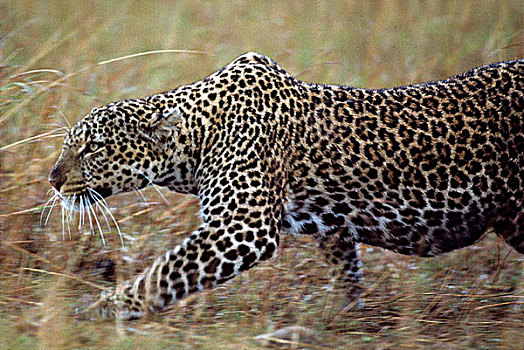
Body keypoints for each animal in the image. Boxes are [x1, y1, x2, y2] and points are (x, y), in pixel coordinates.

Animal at [47, 52, 520, 320]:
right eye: (71, 143)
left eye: (92, 148)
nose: (52, 178)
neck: (198, 136)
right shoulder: (331, 224)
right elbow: (345, 267)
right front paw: (346, 317)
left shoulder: (242, 227)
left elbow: (164, 271)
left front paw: (102, 310)